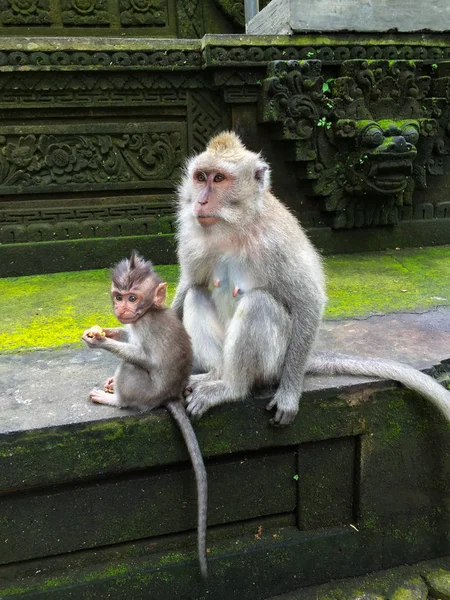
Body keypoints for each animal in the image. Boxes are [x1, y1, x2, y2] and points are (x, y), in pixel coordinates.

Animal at [81, 251, 208, 580]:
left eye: (133, 297)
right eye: (118, 296)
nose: (122, 309)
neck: (147, 313)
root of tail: (169, 395)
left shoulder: (148, 328)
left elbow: (144, 358)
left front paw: (101, 341)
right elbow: (127, 334)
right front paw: (108, 331)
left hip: (146, 392)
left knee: (131, 368)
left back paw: (115, 399)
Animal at [171, 130, 450, 426]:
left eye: (219, 179)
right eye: (201, 177)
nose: (200, 201)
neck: (234, 227)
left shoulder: (276, 242)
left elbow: (307, 301)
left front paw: (289, 393)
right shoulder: (192, 238)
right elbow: (188, 284)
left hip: (276, 362)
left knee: (259, 303)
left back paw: (231, 387)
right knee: (196, 293)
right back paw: (214, 373)